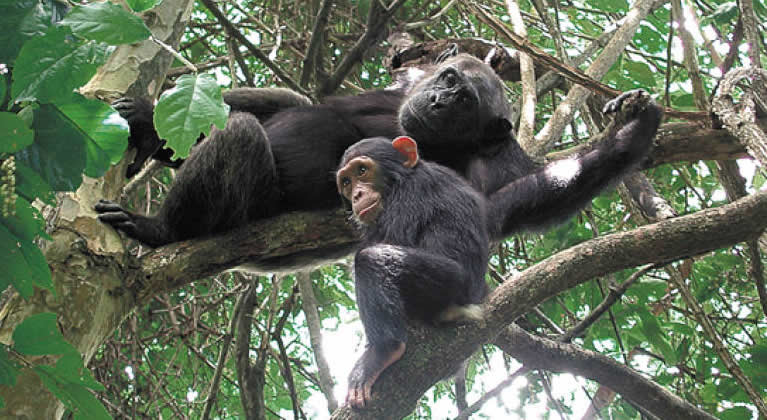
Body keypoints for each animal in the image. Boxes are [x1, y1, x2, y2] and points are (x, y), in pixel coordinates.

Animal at [338, 88, 664, 406]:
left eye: (362, 171)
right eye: (346, 182)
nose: (356, 195)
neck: (398, 180)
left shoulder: (405, 201)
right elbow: (539, 188)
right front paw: (634, 131)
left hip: (451, 284)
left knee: (372, 260)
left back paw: (383, 352)